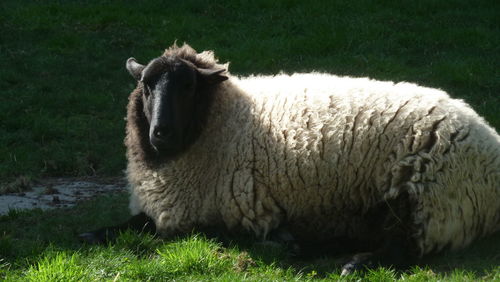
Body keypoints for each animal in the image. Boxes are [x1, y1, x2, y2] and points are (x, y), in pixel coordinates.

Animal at [80, 43, 498, 272]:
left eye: (187, 86)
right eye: (147, 86)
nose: (160, 132)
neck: (220, 118)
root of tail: (490, 145)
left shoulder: (200, 213)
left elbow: (141, 226)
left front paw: (96, 233)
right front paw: (92, 232)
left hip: (428, 199)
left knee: (407, 247)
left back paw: (353, 263)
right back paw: (298, 244)